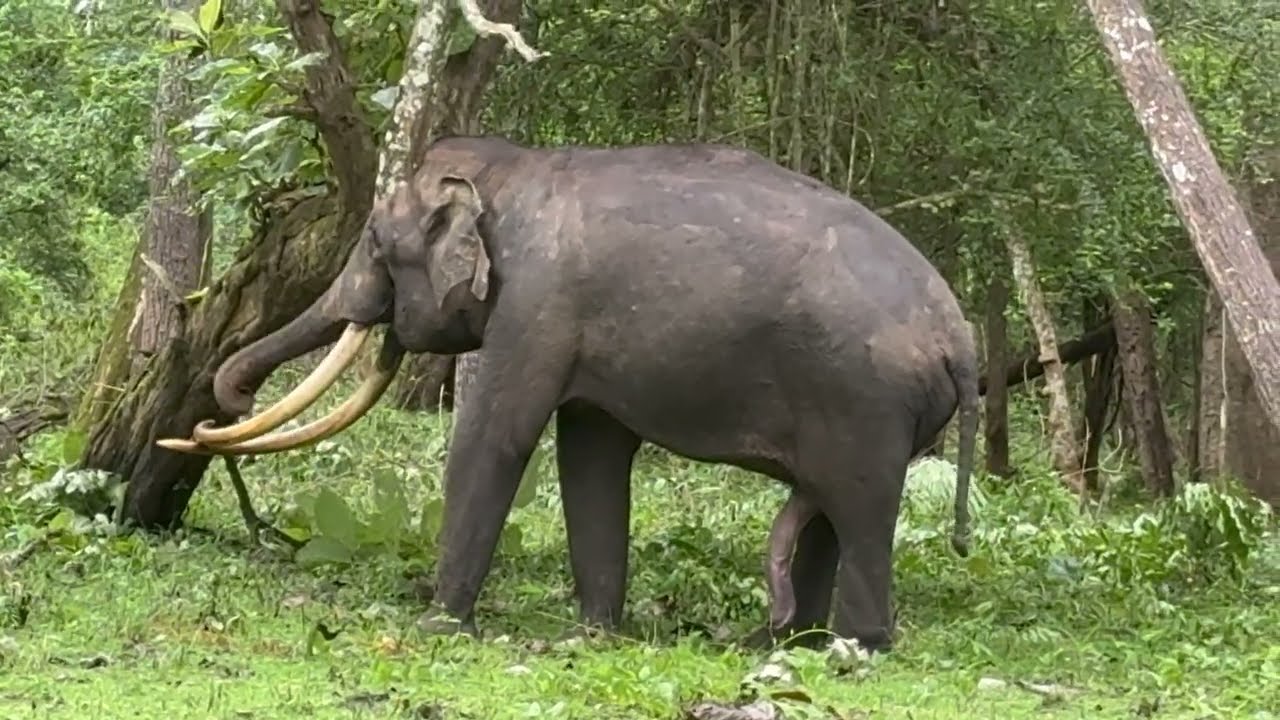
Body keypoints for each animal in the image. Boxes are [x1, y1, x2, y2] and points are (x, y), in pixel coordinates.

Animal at [158, 134, 979, 652]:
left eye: (376, 246)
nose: (229, 402)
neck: (510, 169)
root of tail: (962, 339)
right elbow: (590, 455)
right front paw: (595, 632)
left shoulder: (534, 305)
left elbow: (495, 437)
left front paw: (438, 627)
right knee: (829, 512)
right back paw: (778, 641)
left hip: (865, 399)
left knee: (859, 509)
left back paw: (852, 647)